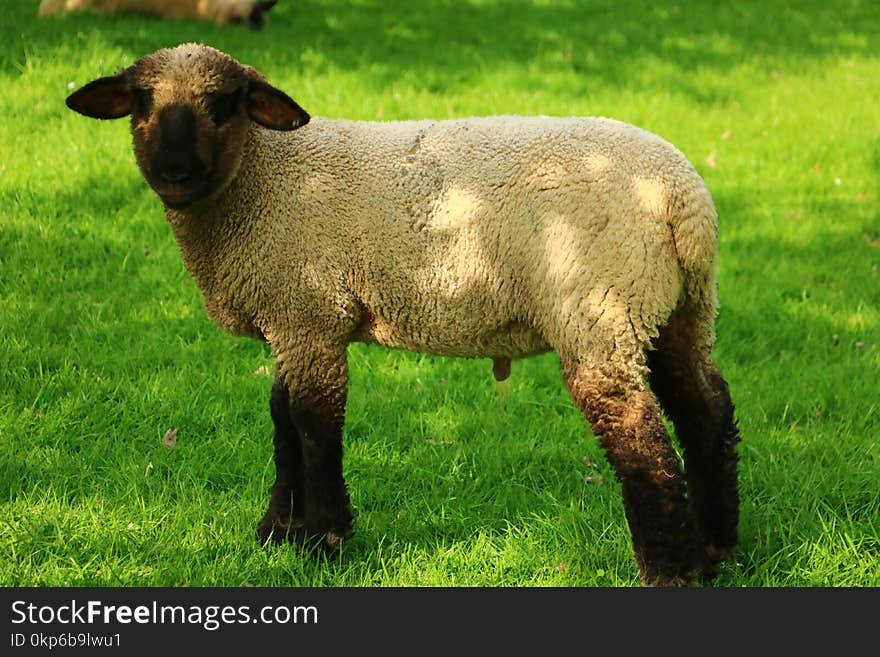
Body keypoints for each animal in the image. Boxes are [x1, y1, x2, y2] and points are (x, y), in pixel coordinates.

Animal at [65, 42, 744, 584]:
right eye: (140, 102)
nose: (175, 172)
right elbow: (282, 421)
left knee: (641, 436)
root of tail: (683, 200)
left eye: (225, 104)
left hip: (599, 307)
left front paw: (324, 539)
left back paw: (669, 570)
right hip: (677, 307)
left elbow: (313, 425)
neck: (265, 176)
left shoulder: (311, 314)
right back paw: (718, 548)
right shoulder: (293, 317)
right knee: (706, 408)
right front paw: (276, 532)